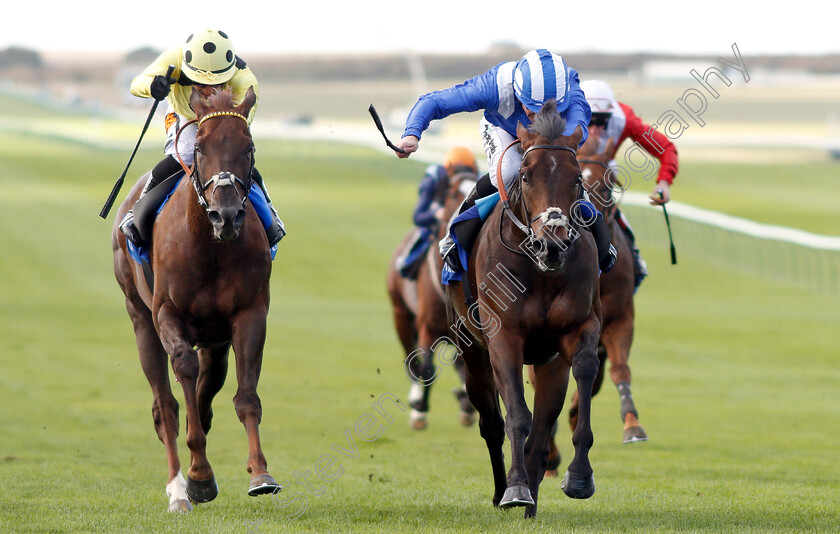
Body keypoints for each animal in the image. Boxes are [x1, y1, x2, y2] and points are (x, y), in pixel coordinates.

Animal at [110, 86, 282, 512]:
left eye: (249, 147)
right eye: (200, 148)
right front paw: (199, 476)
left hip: (215, 339)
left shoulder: (249, 314)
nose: (227, 215)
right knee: (165, 405)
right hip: (140, 319)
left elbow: (245, 397)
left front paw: (260, 474)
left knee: (208, 386)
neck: (210, 246)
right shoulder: (167, 315)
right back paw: (177, 488)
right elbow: (183, 374)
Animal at [384, 172, 476, 432]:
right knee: (412, 360)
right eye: (453, 192)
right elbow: (426, 366)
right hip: (400, 315)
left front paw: (465, 403)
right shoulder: (427, 327)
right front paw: (419, 409)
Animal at [446, 101, 604, 520]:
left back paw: (532, 503)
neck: (540, 270)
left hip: (549, 365)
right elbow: (515, 415)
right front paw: (515, 488)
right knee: (492, 425)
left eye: (577, 178)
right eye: (527, 176)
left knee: (541, 431)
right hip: (473, 354)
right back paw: (505, 491)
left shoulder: (578, 329)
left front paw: (579, 477)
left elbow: (584, 370)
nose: (553, 244)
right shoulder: (504, 336)